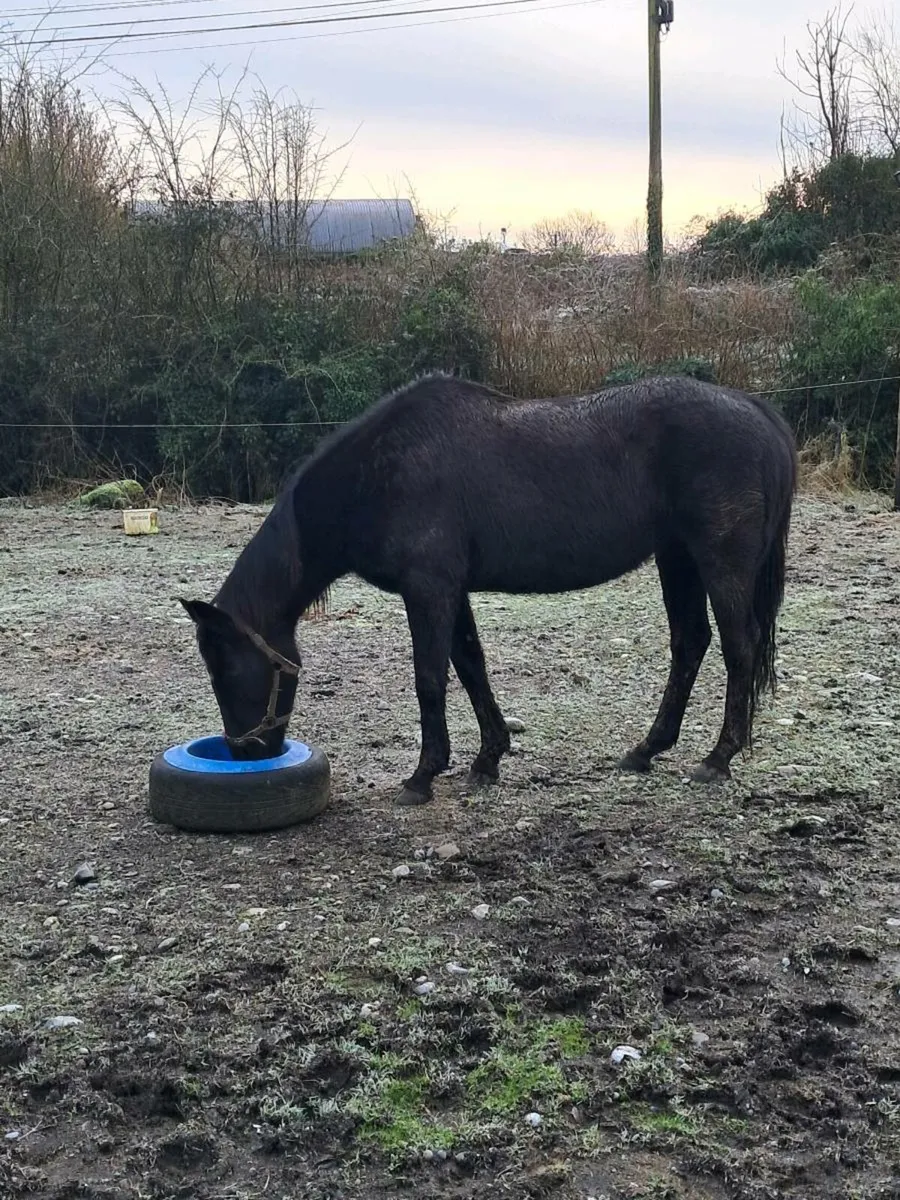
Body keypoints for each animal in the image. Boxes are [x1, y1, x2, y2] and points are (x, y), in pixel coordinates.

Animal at [179, 372, 797, 806]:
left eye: (225, 668)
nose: (246, 752)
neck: (380, 471)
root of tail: (755, 410)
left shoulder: (428, 589)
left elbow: (430, 678)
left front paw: (423, 775)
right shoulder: (450, 591)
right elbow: (471, 666)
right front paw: (488, 759)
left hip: (718, 561)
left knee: (737, 648)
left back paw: (718, 758)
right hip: (677, 559)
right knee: (690, 644)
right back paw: (647, 750)